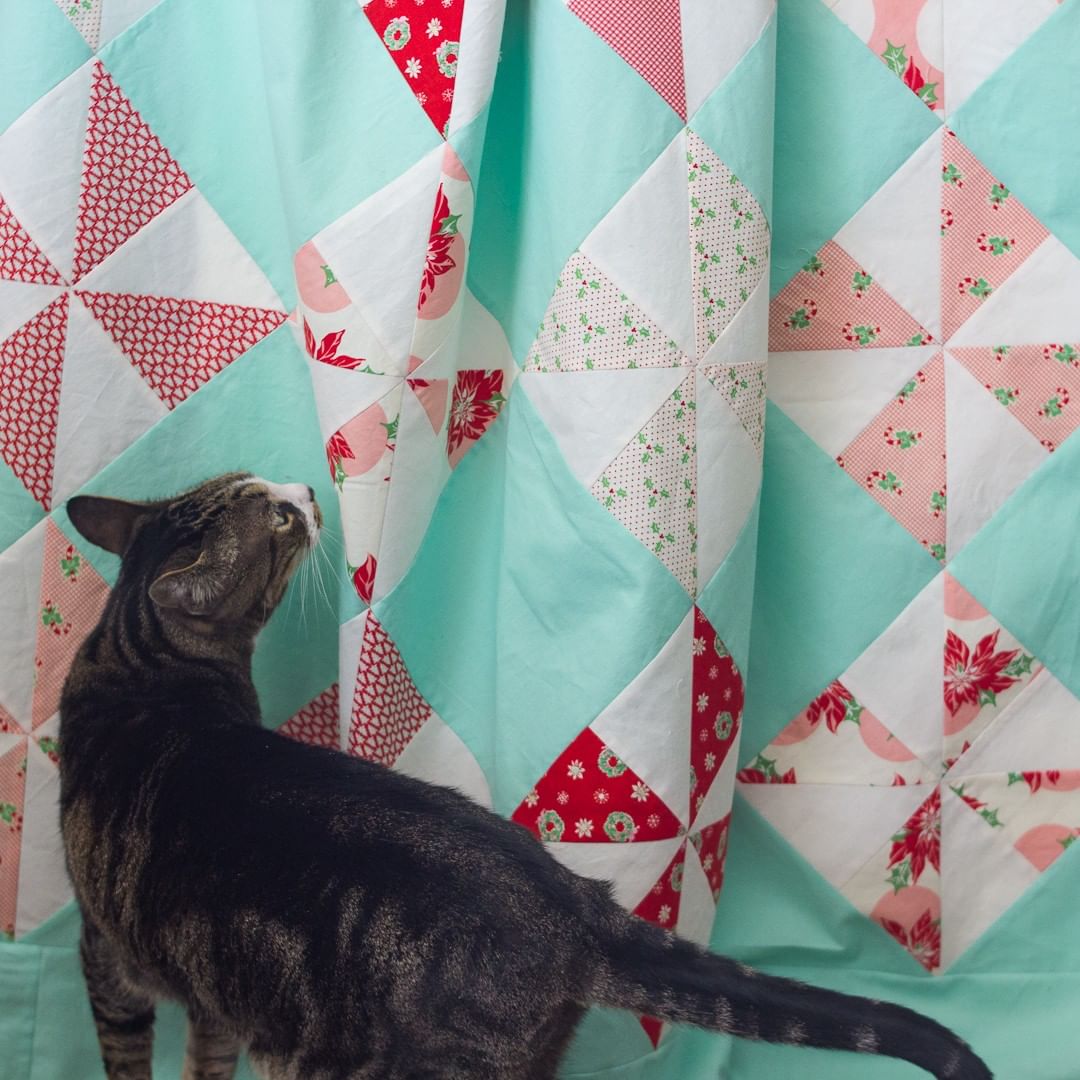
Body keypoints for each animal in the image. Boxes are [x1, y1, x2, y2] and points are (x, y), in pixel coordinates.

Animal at [56, 475, 989, 1080]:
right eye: (279, 516)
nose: (310, 491)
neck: (140, 663)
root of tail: (573, 906)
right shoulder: (181, 982)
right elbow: (191, 1062)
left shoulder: (109, 954)